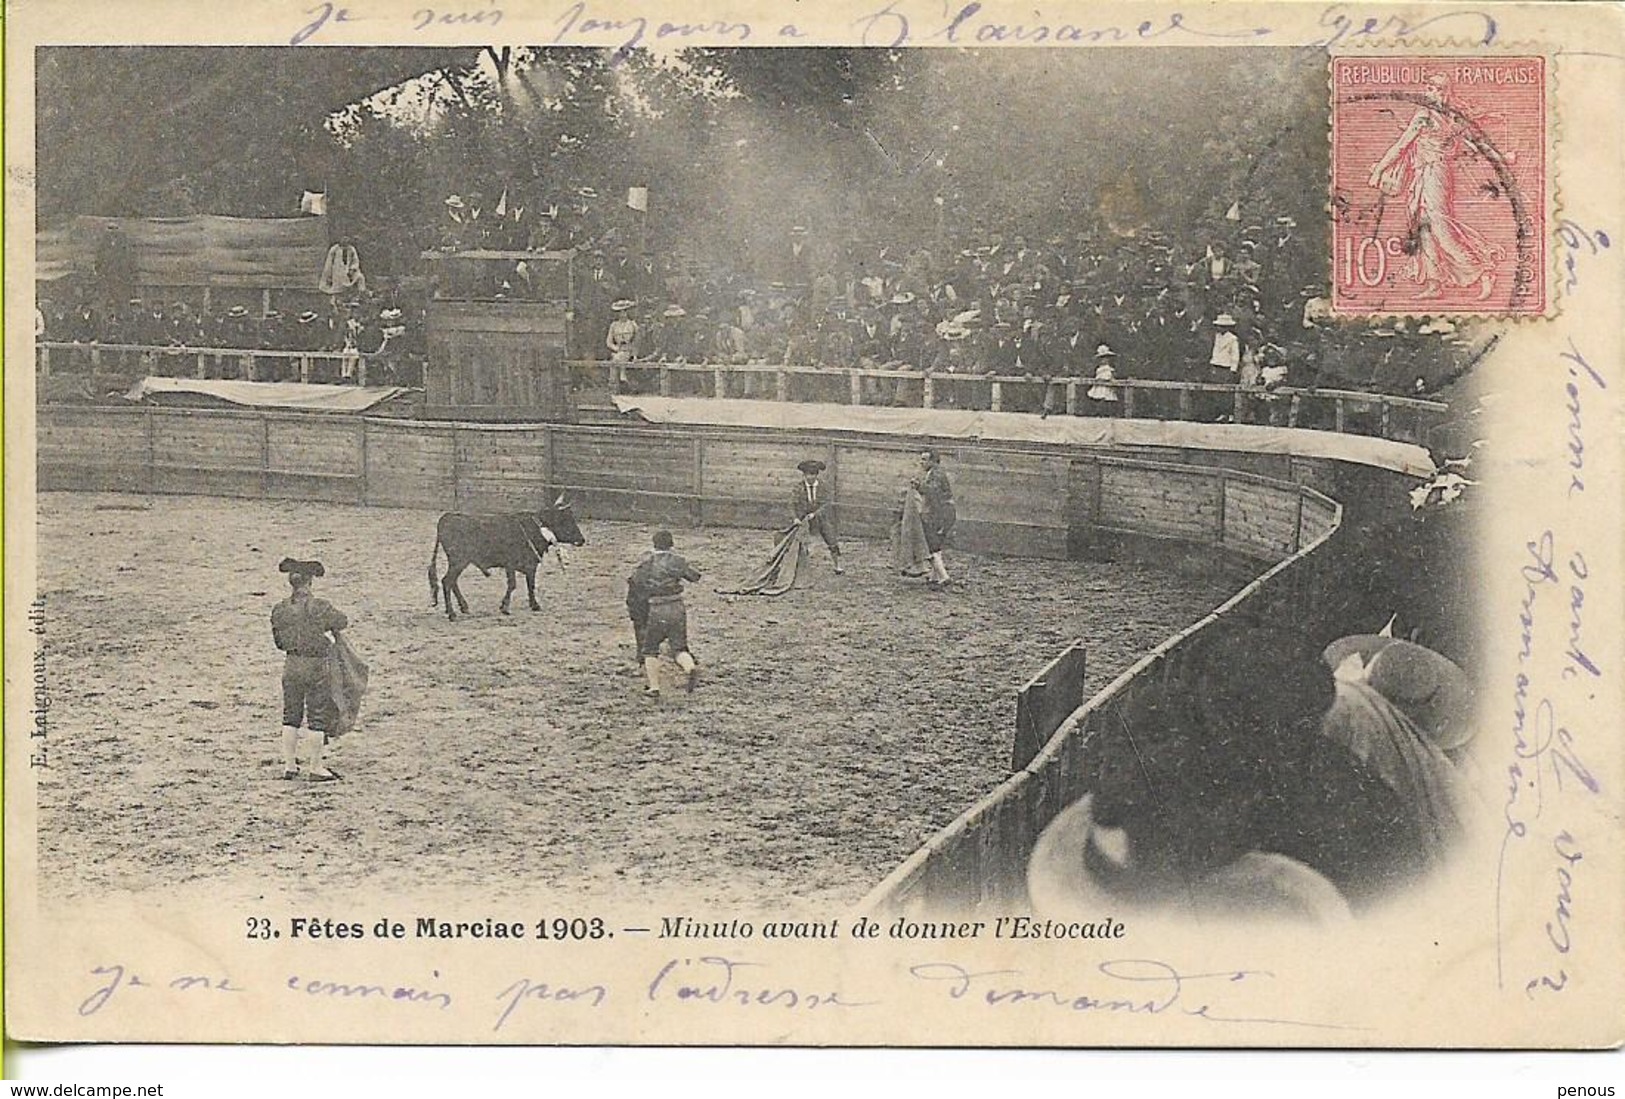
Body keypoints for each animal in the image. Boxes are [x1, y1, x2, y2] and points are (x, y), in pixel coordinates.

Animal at [429, 500, 588, 617]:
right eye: (566, 521)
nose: (582, 540)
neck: (536, 529)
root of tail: (447, 517)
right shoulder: (513, 565)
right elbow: (513, 584)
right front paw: (505, 607)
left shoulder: (528, 565)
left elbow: (530, 585)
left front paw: (533, 605)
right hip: (459, 561)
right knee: (447, 581)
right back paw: (452, 613)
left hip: (458, 562)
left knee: (452, 582)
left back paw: (463, 607)